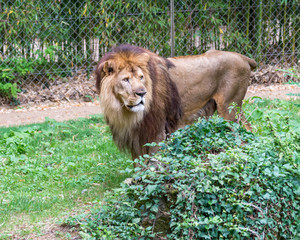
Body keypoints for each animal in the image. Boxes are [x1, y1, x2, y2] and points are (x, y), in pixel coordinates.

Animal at [95, 44, 255, 160]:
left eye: (141, 77)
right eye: (126, 79)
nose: (142, 93)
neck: (124, 111)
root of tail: (243, 57)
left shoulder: (157, 128)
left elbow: (153, 159)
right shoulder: (138, 133)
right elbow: (138, 161)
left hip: (228, 108)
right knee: (248, 128)